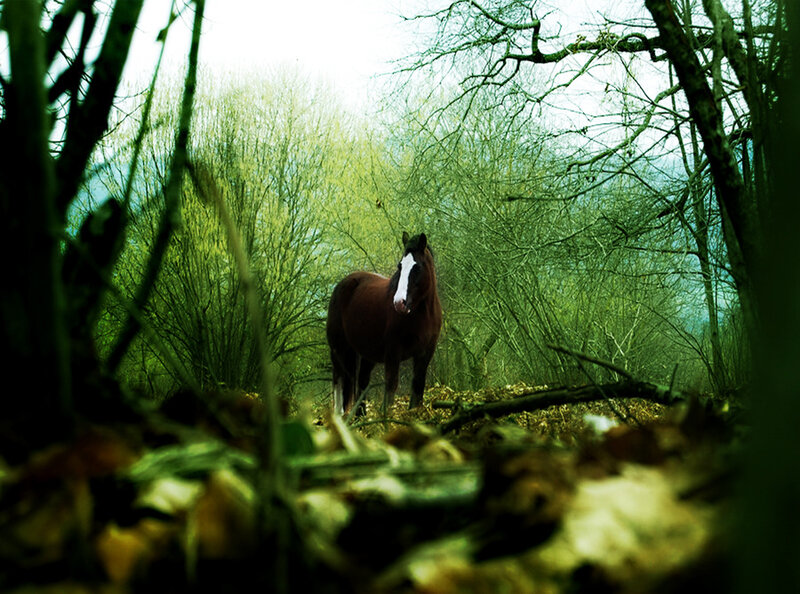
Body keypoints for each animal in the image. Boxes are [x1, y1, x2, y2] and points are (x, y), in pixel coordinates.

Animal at [326, 232, 442, 417]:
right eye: (400, 266)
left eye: (416, 267)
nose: (399, 303)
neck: (423, 314)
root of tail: (343, 284)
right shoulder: (393, 352)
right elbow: (391, 386)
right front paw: (386, 418)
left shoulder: (425, 353)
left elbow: (418, 385)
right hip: (338, 348)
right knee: (338, 380)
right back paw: (339, 415)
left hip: (367, 353)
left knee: (362, 381)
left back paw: (360, 417)